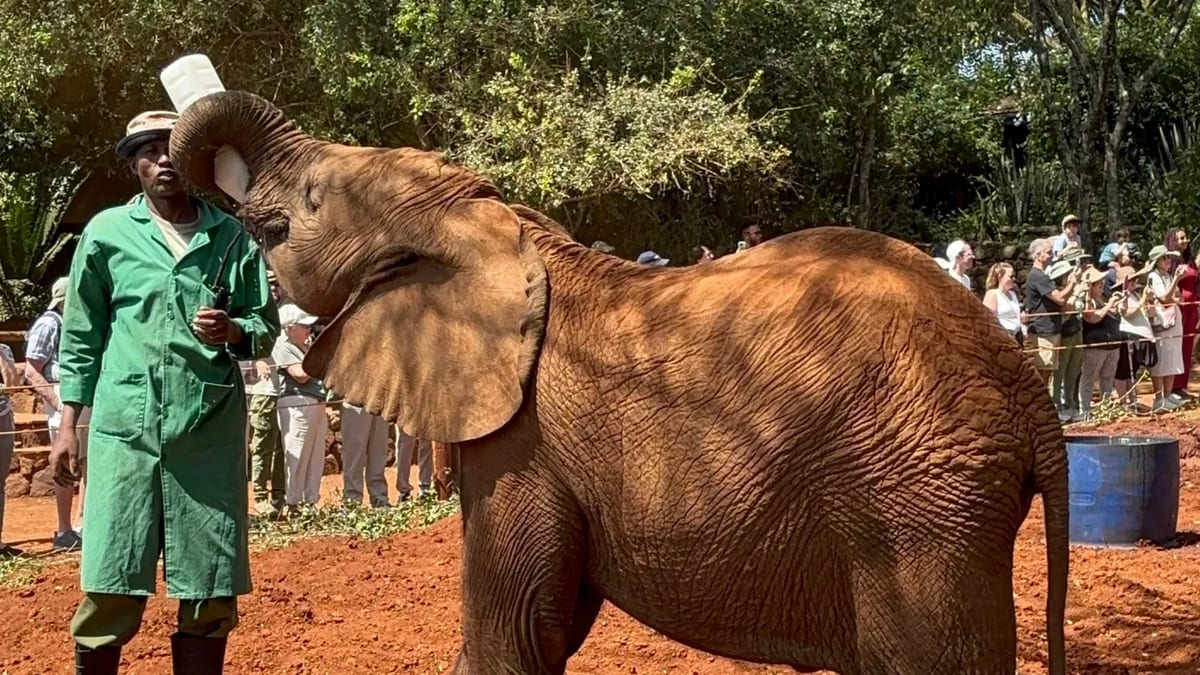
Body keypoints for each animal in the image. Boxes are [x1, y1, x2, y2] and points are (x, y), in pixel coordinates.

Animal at [171, 90, 1068, 675]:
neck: (497, 224)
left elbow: (516, 630)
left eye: (312, 198)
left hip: (920, 505)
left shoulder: (522, 438)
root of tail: (1024, 380)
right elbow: (546, 624)